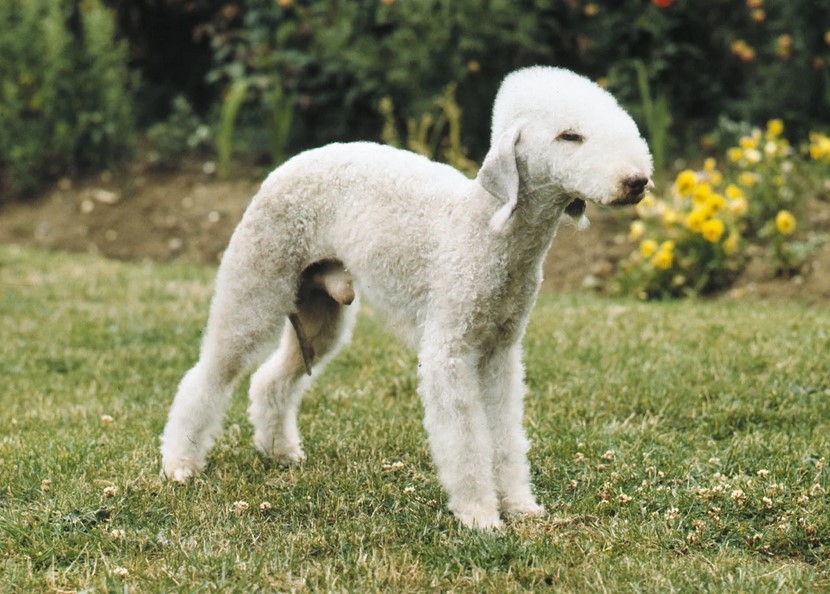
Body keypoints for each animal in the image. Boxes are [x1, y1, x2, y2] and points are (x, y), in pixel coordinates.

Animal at [161, 66, 656, 528]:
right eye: (569, 135)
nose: (638, 181)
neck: (487, 229)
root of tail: (287, 164)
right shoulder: (449, 351)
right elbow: (465, 439)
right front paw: (480, 516)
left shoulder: (500, 352)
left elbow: (504, 435)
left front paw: (519, 506)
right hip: (255, 287)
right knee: (208, 375)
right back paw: (179, 464)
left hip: (320, 314)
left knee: (271, 379)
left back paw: (279, 451)